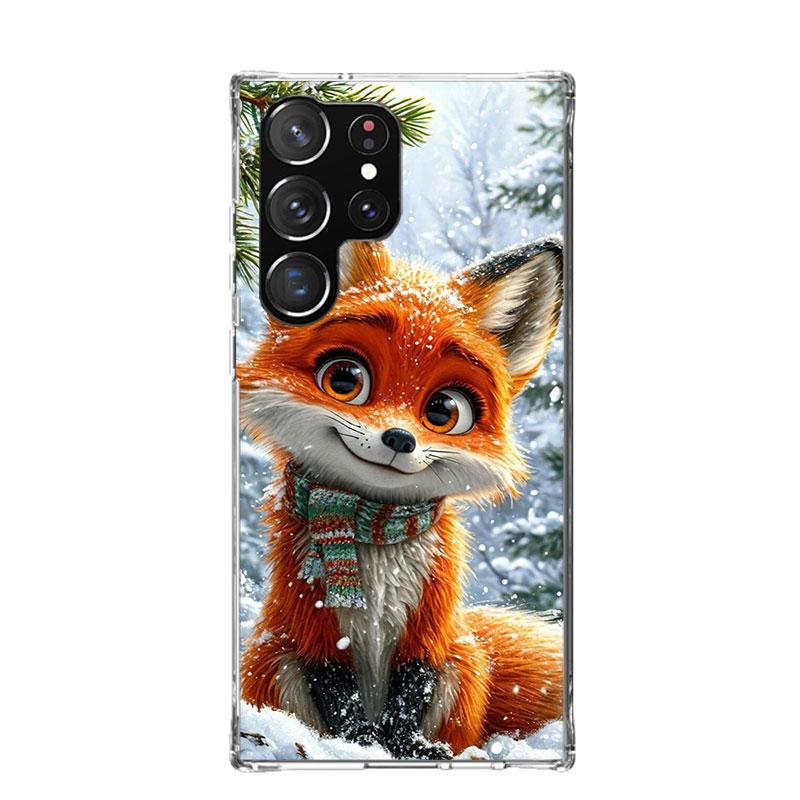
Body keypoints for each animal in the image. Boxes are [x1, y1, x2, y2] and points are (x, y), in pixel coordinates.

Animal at [238, 236, 564, 759]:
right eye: (344, 380)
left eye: (445, 410)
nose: (399, 439)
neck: (375, 529)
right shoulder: (316, 628)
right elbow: (341, 701)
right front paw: (357, 748)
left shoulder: (427, 630)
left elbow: (410, 696)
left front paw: (403, 751)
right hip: (272, 656)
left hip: (463, 660)